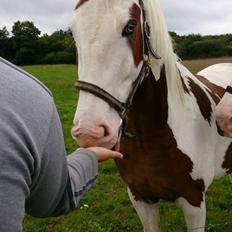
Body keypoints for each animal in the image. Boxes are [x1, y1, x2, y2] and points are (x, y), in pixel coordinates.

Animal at [70, 0, 232, 231]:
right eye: (72, 31)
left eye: (130, 26)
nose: (89, 132)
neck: (152, 137)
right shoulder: (140, 198)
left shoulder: (194, 204)